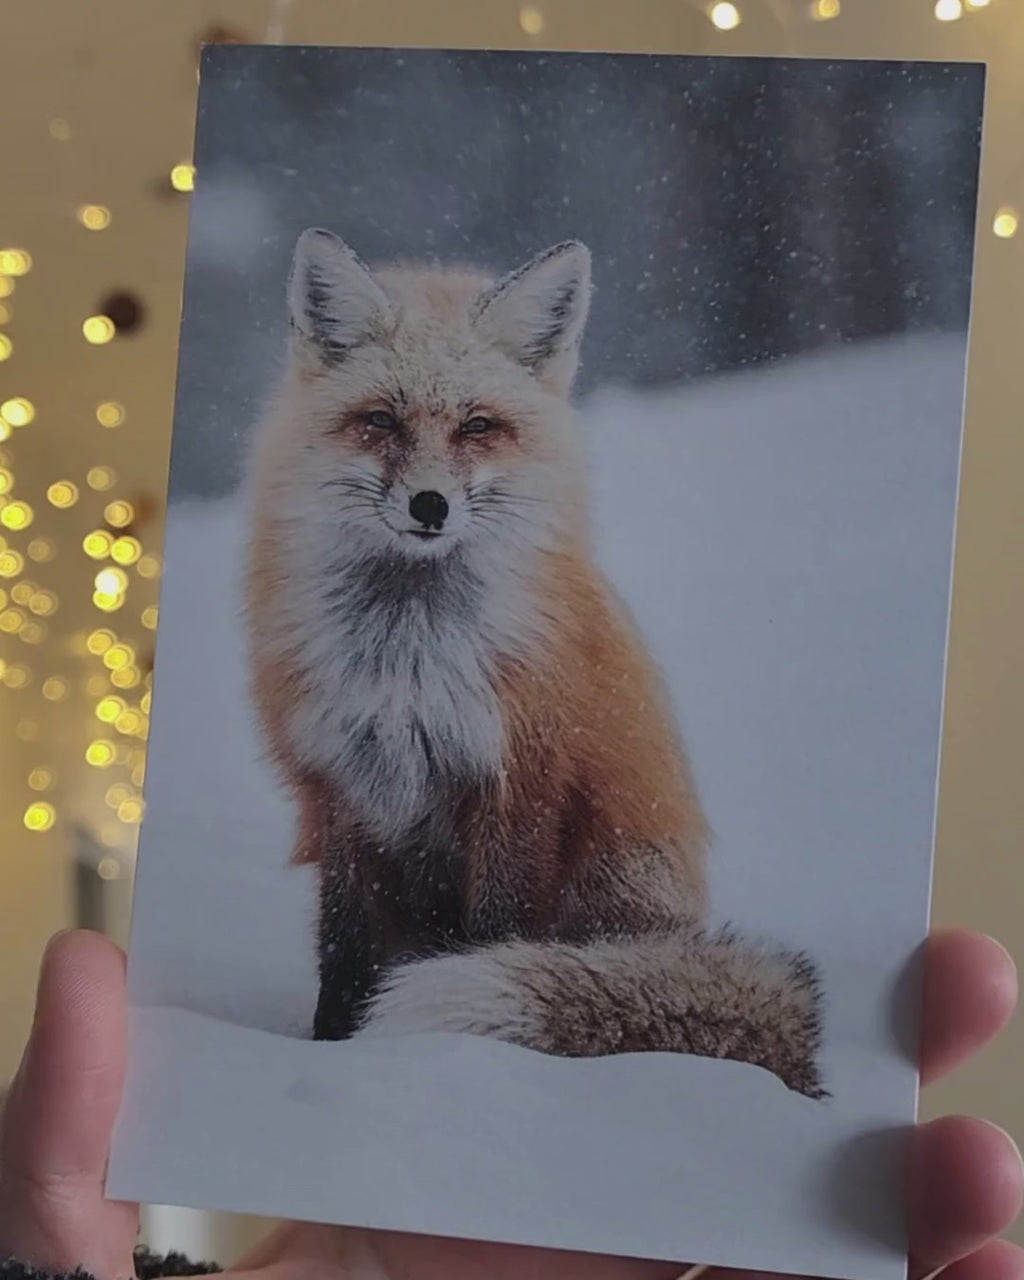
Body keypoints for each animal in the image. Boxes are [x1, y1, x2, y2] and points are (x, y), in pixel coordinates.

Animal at [244, 228, 825, 1098]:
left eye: (478, 426)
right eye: (380, 420)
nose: (429, 506)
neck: (409, 660)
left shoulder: (521, 780)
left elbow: (496, 932)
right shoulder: (342, 787)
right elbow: (343, 951)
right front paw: (332, 1051)